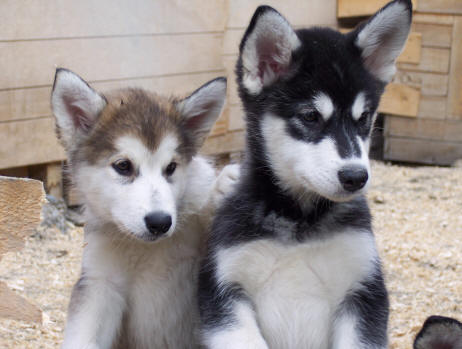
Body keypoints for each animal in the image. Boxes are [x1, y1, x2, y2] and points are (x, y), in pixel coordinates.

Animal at [52, 68, 236, 348]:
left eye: (171, 167)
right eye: (123, 166)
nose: (160, 222)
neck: (148, 250)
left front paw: (222, 187)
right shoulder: (99, 283)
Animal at [199, 1, 412, 346]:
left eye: (364, 118)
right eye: (310, 116)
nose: (356, 177)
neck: (299, 217)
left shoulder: (364, 289)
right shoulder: (223, 292)